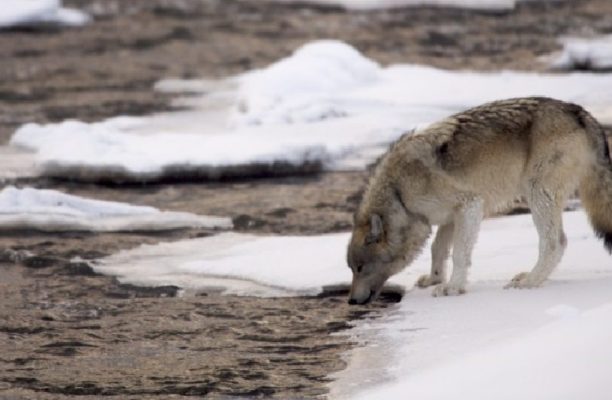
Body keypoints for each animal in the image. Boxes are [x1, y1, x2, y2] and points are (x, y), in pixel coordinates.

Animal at [346, 96, 608, 304]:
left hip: (537, 195)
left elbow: (459, 254)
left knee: (556, 242)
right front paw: (434, 279)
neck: (399, 193)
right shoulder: (449, 217)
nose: (350, 301)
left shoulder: (470, 205)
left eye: (360, 268)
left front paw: (453, 288)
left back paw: (530, 281)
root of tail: (579, 112)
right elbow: (437, 249)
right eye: (352, 269)